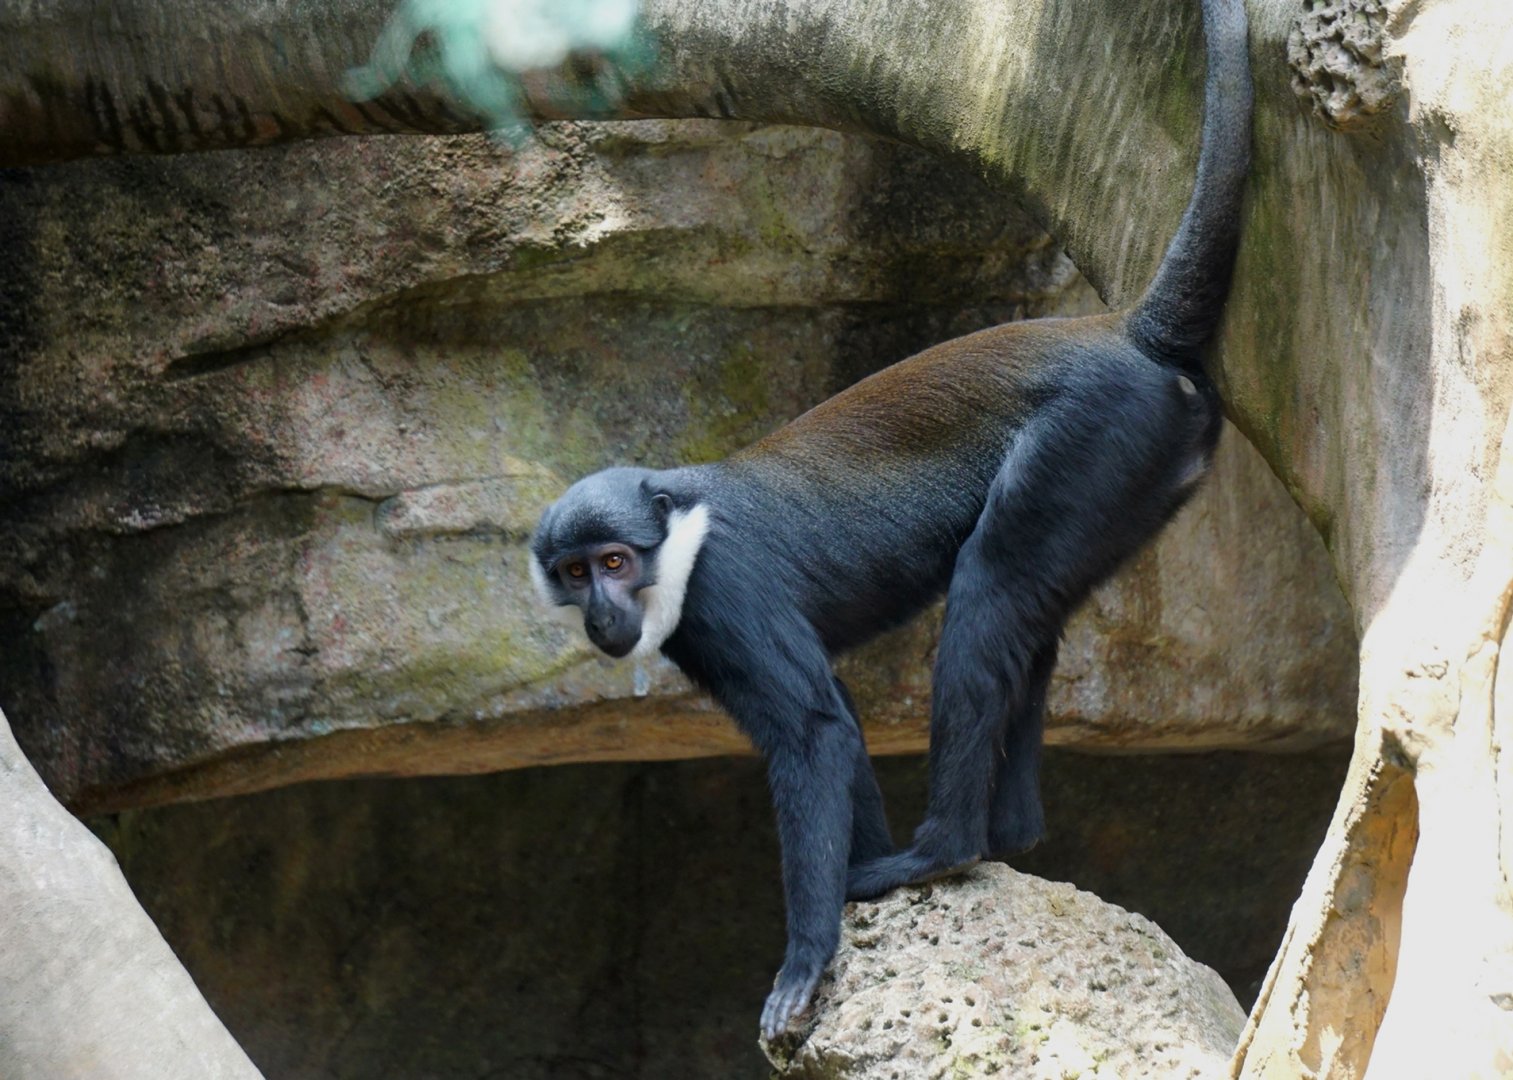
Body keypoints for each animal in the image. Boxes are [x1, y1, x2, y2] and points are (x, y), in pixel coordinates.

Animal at [530, 0, 1251, 1040]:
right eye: (576, 571)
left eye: (618, 561)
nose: (601, 611)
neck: (681, 528)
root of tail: (1121, 333)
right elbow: (837, 716)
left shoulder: (724, 593)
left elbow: (812, 734)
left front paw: (806, 957)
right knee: (1030, 619)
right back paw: (1004, 835)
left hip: (1091, 442)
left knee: (993, 583)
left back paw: (942, 850)